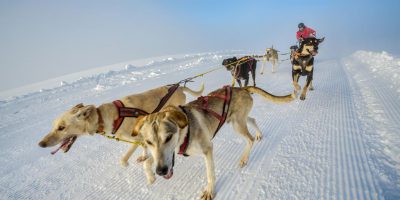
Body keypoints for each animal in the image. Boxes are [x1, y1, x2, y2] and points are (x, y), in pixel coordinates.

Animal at [37, 83, 203, 184]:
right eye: (54, 126)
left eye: (61, 127)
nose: (41, 144)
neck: (107, 116)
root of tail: (179, 87)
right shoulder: (142, 137)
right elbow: (144, 148)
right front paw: (144, 157)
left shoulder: (137, 138)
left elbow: (123, 160)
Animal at [133, 86, 296, 200]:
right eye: (148, 142)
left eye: (168, 137)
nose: (161, 171)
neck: (185, 128)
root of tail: (242, 88)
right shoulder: (164, 155)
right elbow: (147, 162)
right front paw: (150, 176)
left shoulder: (207, 149)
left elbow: (210, 173)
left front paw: (210, 191)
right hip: (237, 121)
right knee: (252, 120)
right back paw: (259, 134)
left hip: (237, 125)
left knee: (249, 139)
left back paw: (244, 158)